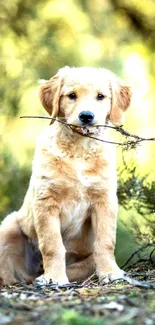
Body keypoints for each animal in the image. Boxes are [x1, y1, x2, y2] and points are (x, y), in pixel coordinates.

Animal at [0, 67, 131, 284]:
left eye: (100, 96)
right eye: (71, 96)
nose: (86, 116)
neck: (79, 149)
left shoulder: (104, 200)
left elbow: (105, 241)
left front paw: (111, 273)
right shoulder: (46, 201)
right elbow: (52, 244)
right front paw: (54, 277)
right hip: (8, 227)